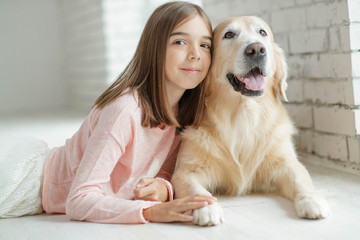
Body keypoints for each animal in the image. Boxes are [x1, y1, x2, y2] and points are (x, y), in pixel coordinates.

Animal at [171, 15, 330, 226]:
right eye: (229, 34)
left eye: (262, 32)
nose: (256, 49)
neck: (244, 113)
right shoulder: (185, 171)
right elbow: (194, 188)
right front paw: (206, 207)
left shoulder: (286, 162)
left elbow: (301, 178)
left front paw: (312, 200)